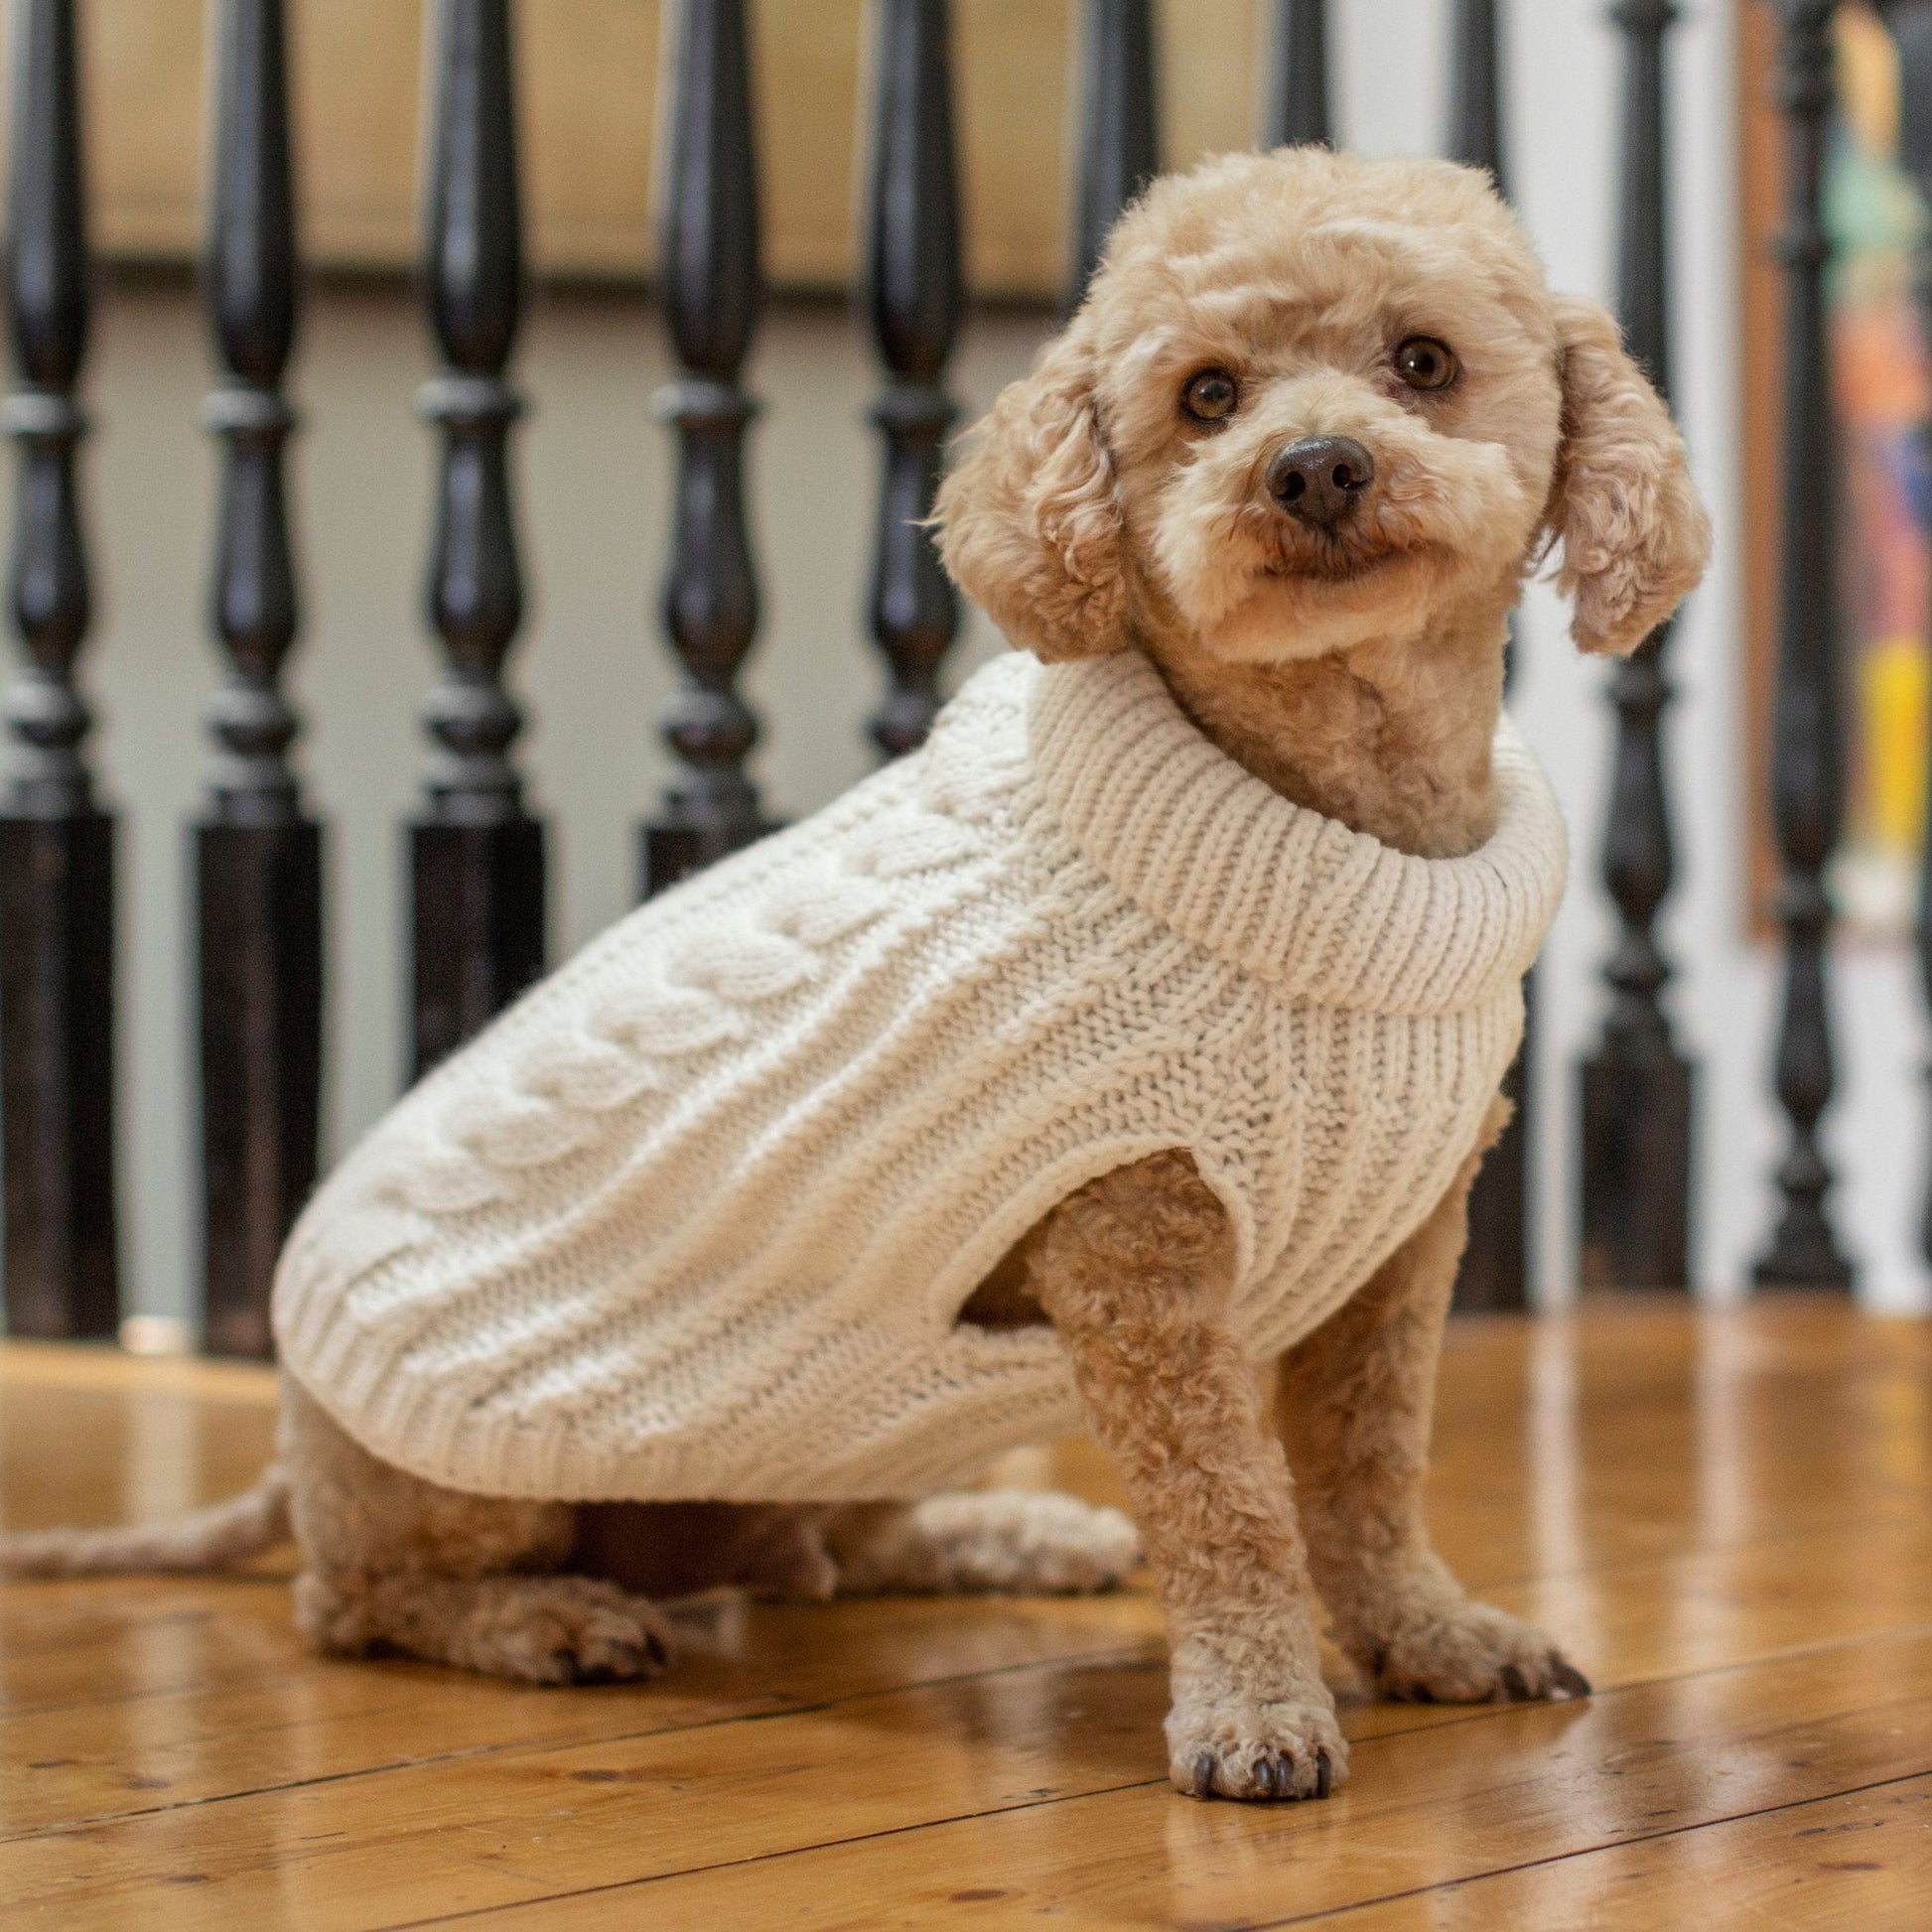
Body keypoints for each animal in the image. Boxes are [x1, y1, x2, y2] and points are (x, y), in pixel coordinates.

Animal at [3, 143, 1708, 1800]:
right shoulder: (1140, 1260)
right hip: (456, 1478)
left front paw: (1429, 1632)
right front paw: (1254, 1712)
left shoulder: (1401, 1249)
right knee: (351, 1602)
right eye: (1207, 395)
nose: (1314, 466)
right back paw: (548, 1620)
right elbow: (1233, 1508)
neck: (1324, 816)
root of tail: (289, 1440)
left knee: (833, 1549)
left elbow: (1366, 1475)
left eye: (1422, 362)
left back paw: (1011, 1536)